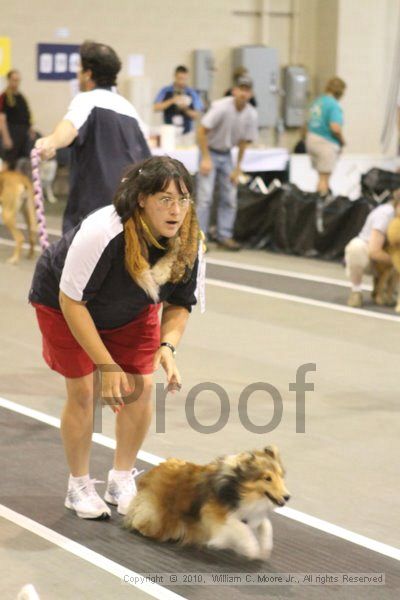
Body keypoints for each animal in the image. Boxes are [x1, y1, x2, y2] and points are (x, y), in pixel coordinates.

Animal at [123, 442, 290, 560]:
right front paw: (252, 549)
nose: (287, 497)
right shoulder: (215, 516)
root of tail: (151, 474)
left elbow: (266, 525)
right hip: (155, 518)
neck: (238, 487)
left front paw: (265, 548)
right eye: (267, 478)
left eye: (281, 475)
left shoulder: (251, 513)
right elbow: (242, 528)